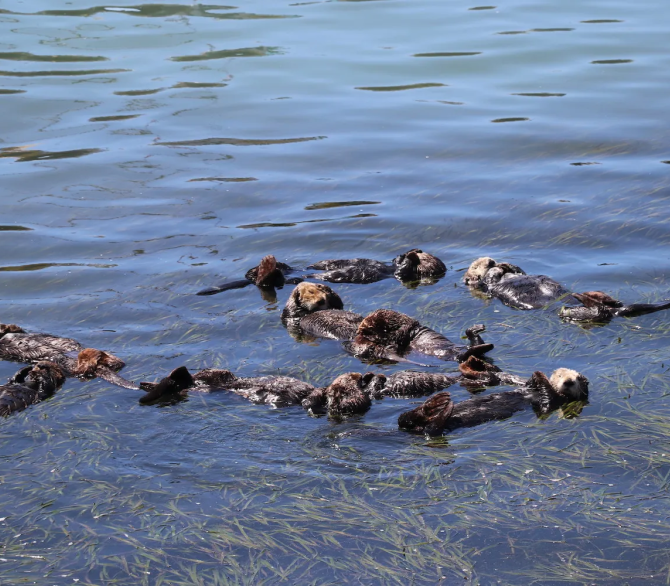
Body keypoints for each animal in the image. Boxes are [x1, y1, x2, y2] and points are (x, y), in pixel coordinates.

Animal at [0, 324, 138, 388]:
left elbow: (17, 329)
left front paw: (5, 326)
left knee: (118, 363)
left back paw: (97, 354)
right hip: (64, 363)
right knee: (83, 369)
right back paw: (91, 355)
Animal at [308, 246, 446, 282]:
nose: (420, 251)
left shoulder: (404, 274)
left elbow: (401, 271)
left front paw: (410, 256)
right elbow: (396, 261)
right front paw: (409, 252)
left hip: (335, 273)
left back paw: (306, 275)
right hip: (331, 263)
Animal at [400, 370, 588, 434]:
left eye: (577, 379)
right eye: (560, 375)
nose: (569, 381)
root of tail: (420, 428)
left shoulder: (555, 402)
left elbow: (546, 403)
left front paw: (540, 377)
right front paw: (535, 377)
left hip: (438, 428)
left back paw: (442, 407)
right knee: (405, 419)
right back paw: (435, 403)